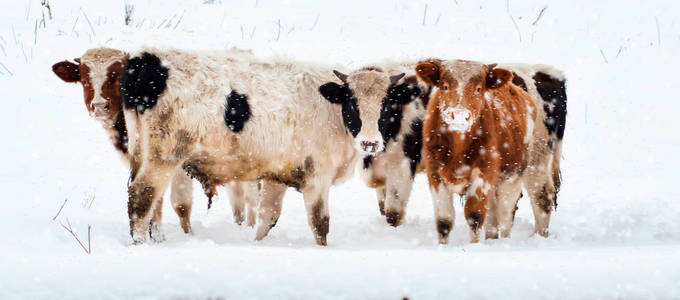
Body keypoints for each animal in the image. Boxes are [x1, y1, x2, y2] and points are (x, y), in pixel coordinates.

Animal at [49, 47, 262, 240]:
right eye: (84, 80)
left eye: (117, 79)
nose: (99, 106)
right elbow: (155, 202)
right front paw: (157, 237)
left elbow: (181, 204)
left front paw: (187, 236)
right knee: (238, 197)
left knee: (251, 196)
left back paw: (251, 227)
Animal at [119, 47, 358, 246]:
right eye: (354, 102)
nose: (367, 140)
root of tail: (147, 58)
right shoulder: (317, 176)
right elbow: (320, 223)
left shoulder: (278, 173)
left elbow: (268, 215)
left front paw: (257, 243)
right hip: (165, 157)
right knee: (142, 196)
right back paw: (139, 244)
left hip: (143, 154)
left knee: (153, 203)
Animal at [414, 59, 536, 244]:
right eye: (445, 86)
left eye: (479, 89)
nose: (459, 115)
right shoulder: (435, 173)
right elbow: (444, 220)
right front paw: (443, 246)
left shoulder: (483, 173)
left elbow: (474, 216)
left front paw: (474, 246)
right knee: (493, 219)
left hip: (513, 176)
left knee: (506, 216)